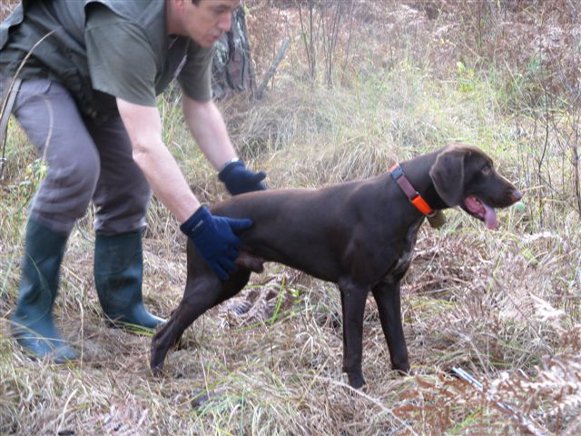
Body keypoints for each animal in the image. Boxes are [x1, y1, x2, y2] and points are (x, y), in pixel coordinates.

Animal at [150, 143, 520, 388]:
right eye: (484, 169)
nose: (518, 194)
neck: (402, 199)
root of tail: (206, 214)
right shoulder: (354, 287)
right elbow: (353, 348)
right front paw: (357, 389)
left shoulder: (388, 286)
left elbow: (398, 343)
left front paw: (407, 382)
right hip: (211, 282)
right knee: (161, 332)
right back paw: (158, 374)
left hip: (226, 281)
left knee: (173, 324)